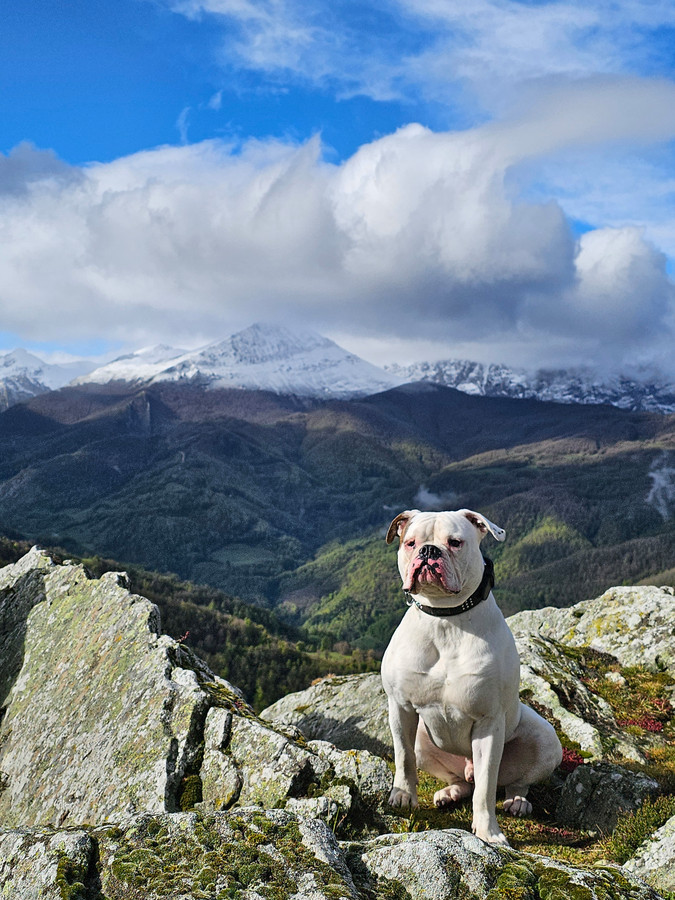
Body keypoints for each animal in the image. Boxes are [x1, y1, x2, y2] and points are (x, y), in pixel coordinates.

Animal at [382, 510, 564, 848]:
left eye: (455, 542)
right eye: (410, 542)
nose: (428, 551)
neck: (445, 618)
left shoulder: (488, 723)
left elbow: (486, 787)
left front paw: (488, 831)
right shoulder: (401, 709)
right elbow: (403, 758)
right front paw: (402, 798)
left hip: (546, 741)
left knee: (512, 782)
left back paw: (517, 801)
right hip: (423, 738)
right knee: (460, 780)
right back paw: (450, 792)